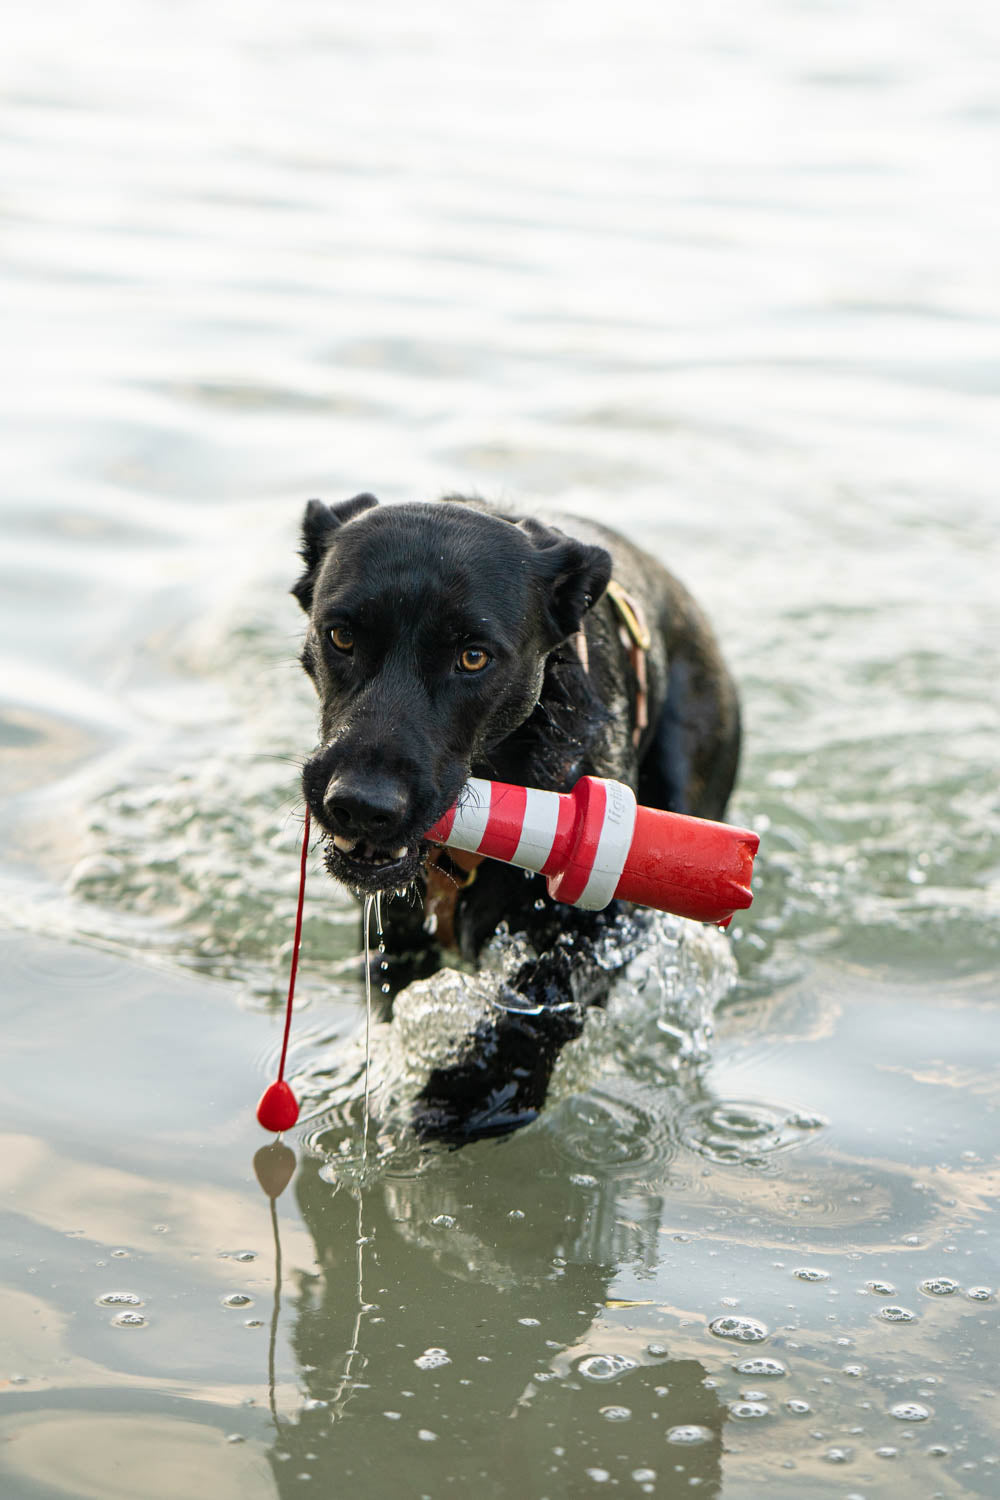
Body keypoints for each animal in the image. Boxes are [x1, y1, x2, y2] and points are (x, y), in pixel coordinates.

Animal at [293, 495, 740, 1134]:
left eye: (473, 656)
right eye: (341, 636)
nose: (360, 804)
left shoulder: (604, 914)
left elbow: (541, 998)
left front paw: (479, 1093)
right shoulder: (394, 930)